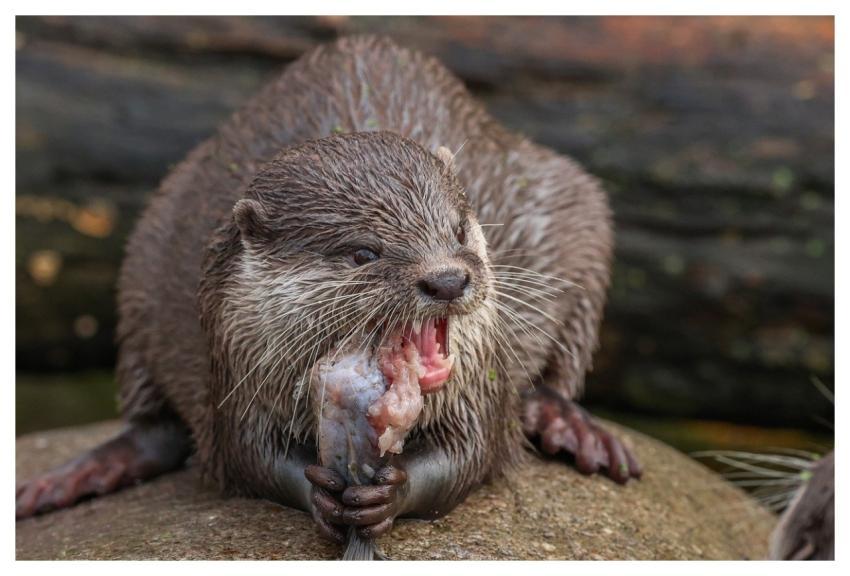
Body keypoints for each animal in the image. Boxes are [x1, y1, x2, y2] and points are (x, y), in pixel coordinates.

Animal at [16, 35, 641, 550]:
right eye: (363, 252)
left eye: (459, 230)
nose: (447, 279)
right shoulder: (232, 358)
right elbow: (247, 457)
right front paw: (317, 491)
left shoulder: (479, 384)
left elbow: (473, 456)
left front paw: (391, 493)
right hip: (142, 259)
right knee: (154, 425)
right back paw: (74, 477)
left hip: (579, 207)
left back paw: (572, 427)